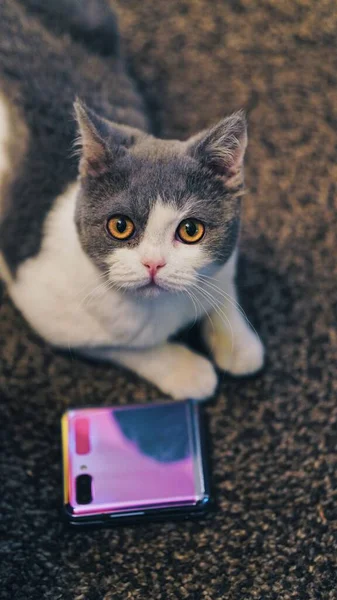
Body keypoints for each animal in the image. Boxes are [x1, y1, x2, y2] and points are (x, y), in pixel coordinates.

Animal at [0, 1, 262, 404]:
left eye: (191, 230)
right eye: (119, 226)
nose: (153, 264)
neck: (158, 309)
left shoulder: (225, 258)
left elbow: (222, 287)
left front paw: (240, 345)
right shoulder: (43, 309)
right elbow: (126, 348)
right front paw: (188, 371)